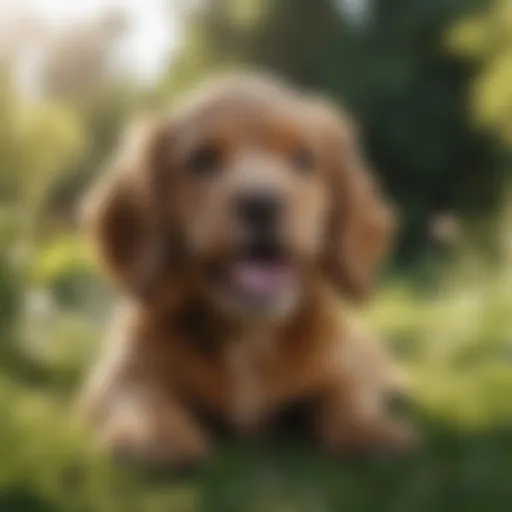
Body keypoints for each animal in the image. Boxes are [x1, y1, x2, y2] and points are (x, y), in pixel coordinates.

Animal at [79, 73, 412, 468]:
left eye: (304, 158)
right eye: (202, 159)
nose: (261, 203)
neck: (248, 333)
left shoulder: (343, 365)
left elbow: (345, 393)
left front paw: (372, 429)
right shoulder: (119, 372)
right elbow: (139, 394)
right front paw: (154, 437)